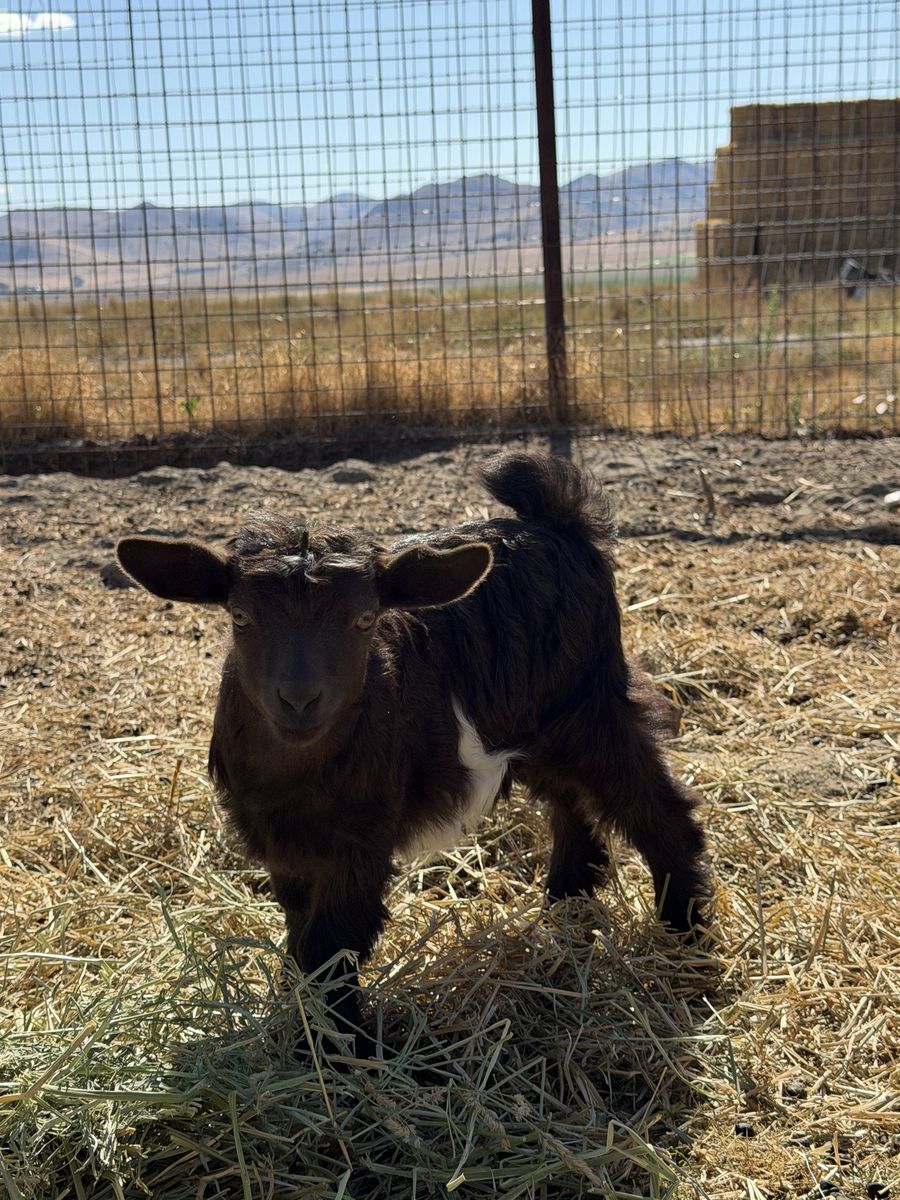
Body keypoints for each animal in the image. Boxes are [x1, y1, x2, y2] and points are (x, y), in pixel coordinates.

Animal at [117, 452, 710, 1047]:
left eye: (364, 620)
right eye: (240, 618)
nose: (300, 699)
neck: (296, 774)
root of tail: (559, 526)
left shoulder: (359, 840)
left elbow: (332, 942)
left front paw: (340, 1045)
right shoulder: (283, 843)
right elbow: (300, 930)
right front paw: (299, 1009)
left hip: (594, 707)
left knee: (655, 808)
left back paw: (685, 935)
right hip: (535, 728)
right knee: (570, 805)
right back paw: (566, 904)